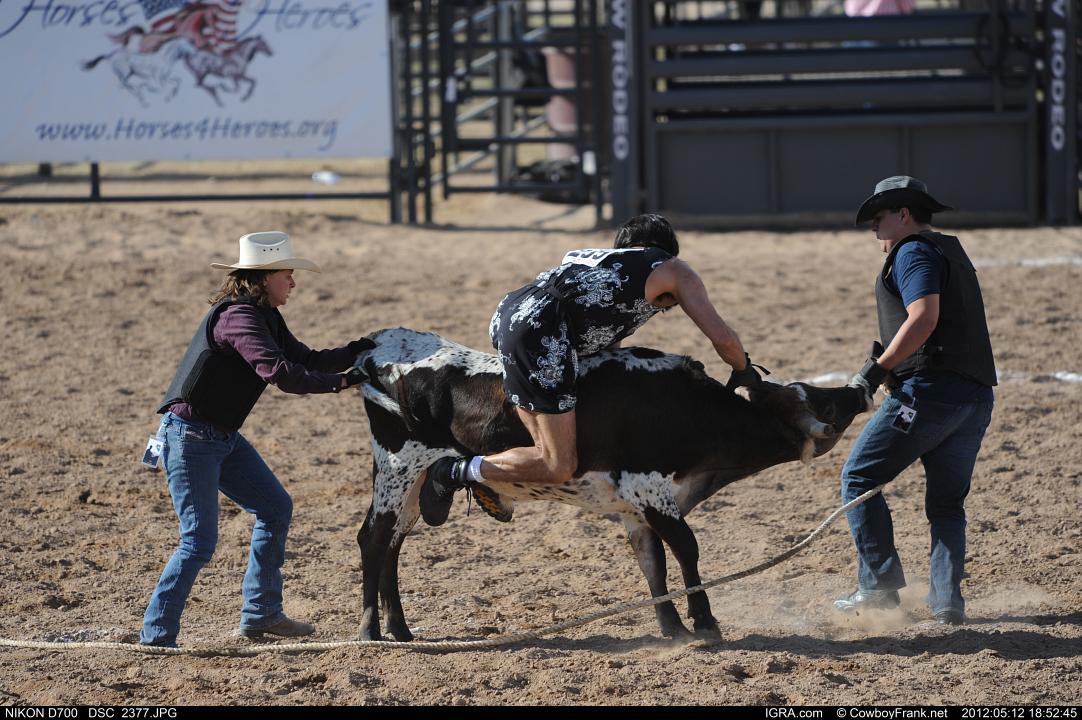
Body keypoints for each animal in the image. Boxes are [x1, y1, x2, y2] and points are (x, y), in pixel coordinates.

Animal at [351, 328, 868, 642]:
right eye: (823, 402)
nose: (857, 390)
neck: (680, 407)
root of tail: (373, 349)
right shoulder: (648, 488)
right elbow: (686, 547)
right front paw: (703, 621)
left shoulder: (636, 507)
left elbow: (653, 561)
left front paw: (672, 628)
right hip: (398, 466)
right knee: (374, 539)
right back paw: (370, 631)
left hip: (413, 482)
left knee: (394, 542)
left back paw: (401, 630)